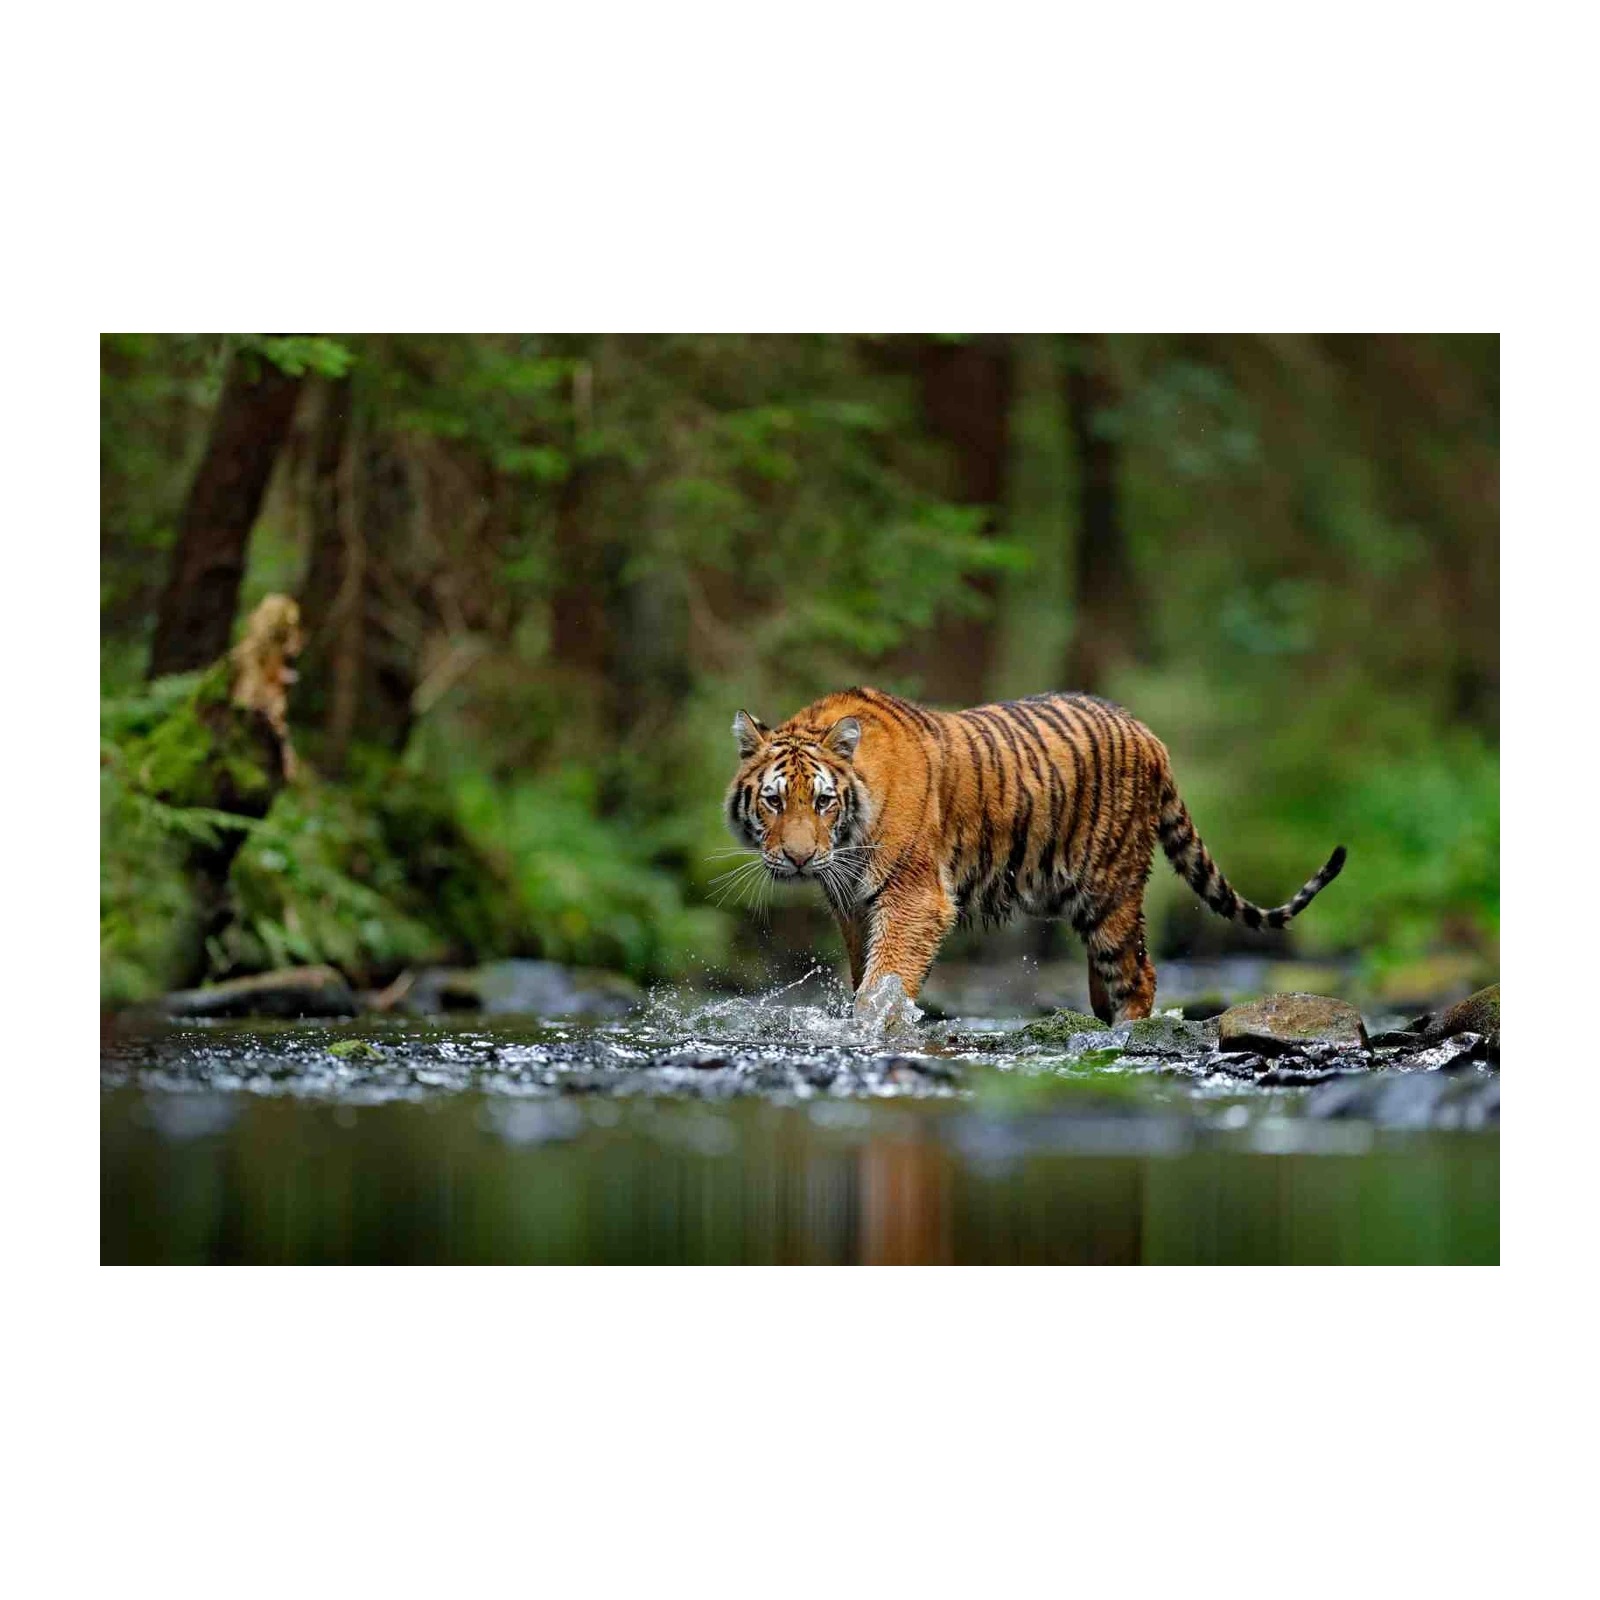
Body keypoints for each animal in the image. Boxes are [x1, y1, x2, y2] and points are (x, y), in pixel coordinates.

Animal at [723, 686, 1345, 1023]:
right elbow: (865, 976)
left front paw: (875, 1028)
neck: (849, 837)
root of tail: (1148, 734)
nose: (799, 859)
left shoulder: (914, 898)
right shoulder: (854, 905)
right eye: (774, 801)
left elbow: (885, 981)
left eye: (823, 801)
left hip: (1111, 888)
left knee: (1138, 973)